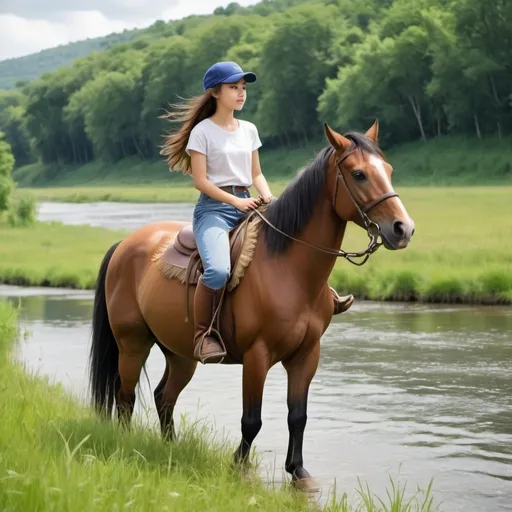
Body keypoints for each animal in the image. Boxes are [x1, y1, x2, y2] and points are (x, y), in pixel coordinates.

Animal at [89, 121, 416, 492]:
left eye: (388, 170)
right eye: (359, 174)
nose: (403, 229)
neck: (289, 268)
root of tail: (124, 245)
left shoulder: (307, 355)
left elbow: (298, 415)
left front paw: (298, 472)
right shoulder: (256, 356)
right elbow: (252, 419)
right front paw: (240, 469)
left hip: (181, 354)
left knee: (163, 397)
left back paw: (171, 449)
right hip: (133, 344)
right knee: (125, 396)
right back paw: (127, 445)